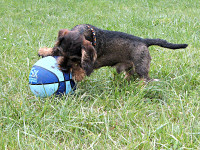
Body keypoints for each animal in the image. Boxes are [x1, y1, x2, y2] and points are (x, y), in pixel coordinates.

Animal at [38, 24, 188, 82]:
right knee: (131, 74)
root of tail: (144, 41)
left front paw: (77, 74)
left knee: (146, 79)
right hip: (131, 67)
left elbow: (82, 67)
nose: (63, 68)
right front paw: (45, 50)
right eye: (60, 52)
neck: (84, 31)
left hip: (141, 67)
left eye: (75, 58)